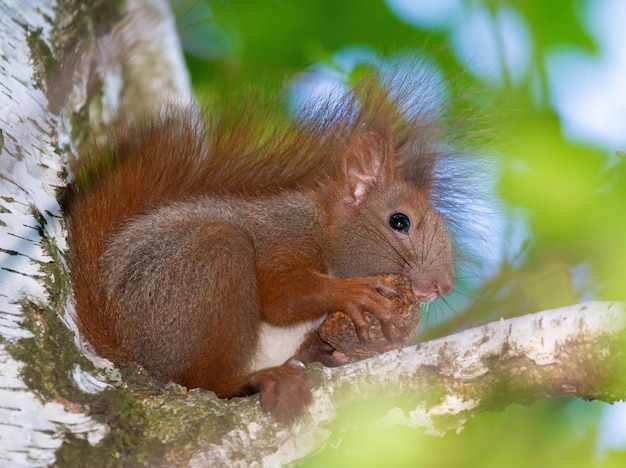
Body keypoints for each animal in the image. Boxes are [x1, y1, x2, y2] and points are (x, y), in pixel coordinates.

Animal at [66, 72, 456, 424]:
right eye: (399, 221)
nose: (444, 286)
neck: (327, 232)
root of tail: (119, 339)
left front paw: (336, 350)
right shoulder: (284, 232)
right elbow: (276, 294)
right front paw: (354, 293)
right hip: (201, 273)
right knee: (202, 380)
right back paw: (255, 380)